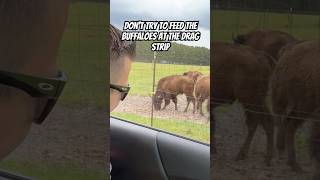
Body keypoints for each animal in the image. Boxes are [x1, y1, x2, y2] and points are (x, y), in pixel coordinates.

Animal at [268, 39, 320, 174]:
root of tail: (288, 49)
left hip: (298, 109)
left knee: (288, 126)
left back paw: (293, 164)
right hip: (288, 103)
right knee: (285, 125)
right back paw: (292, 163)